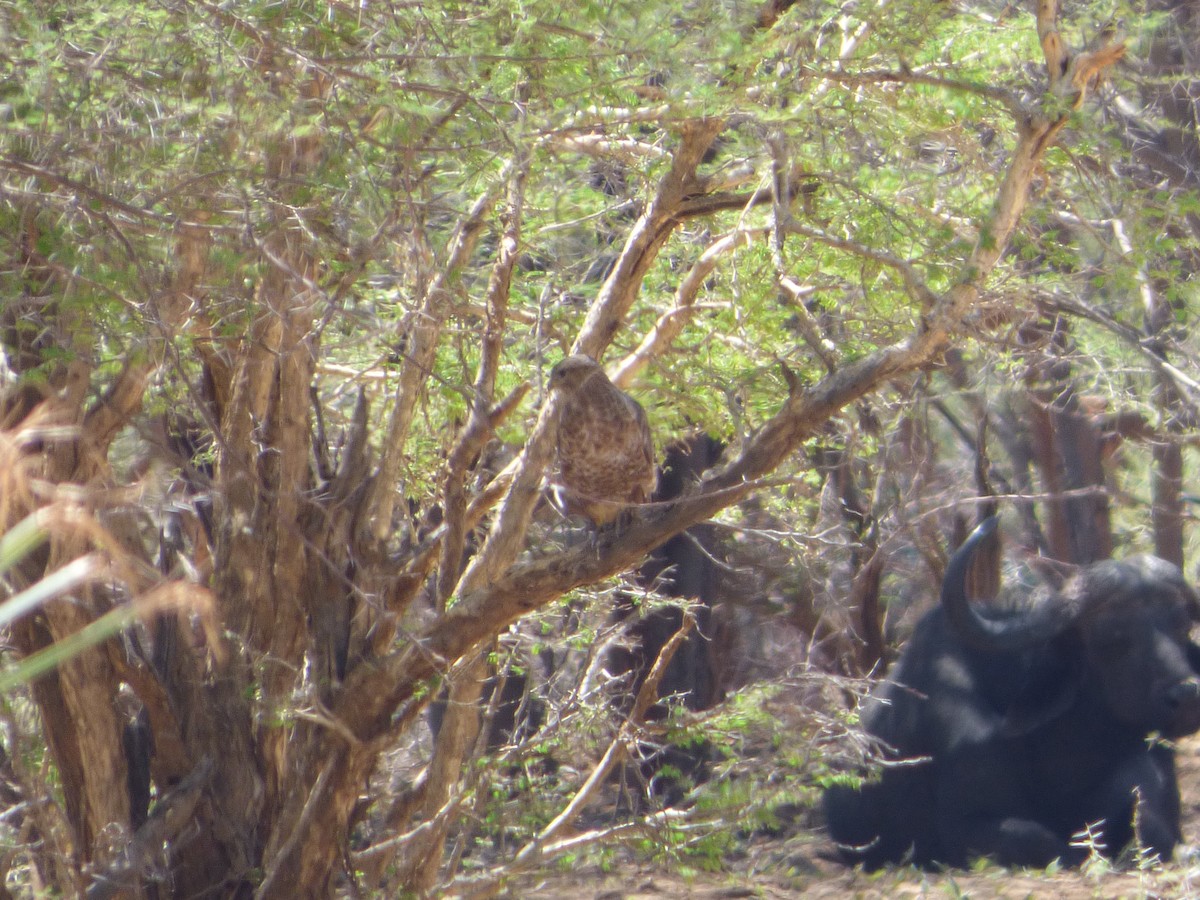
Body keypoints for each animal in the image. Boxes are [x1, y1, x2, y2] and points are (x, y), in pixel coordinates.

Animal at [830, 518, 1200, 868]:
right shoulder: (964, 826)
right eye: (1112, 637)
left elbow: (1149, 824)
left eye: (1181, 625)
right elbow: (1041, 840)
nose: (1185, 697)